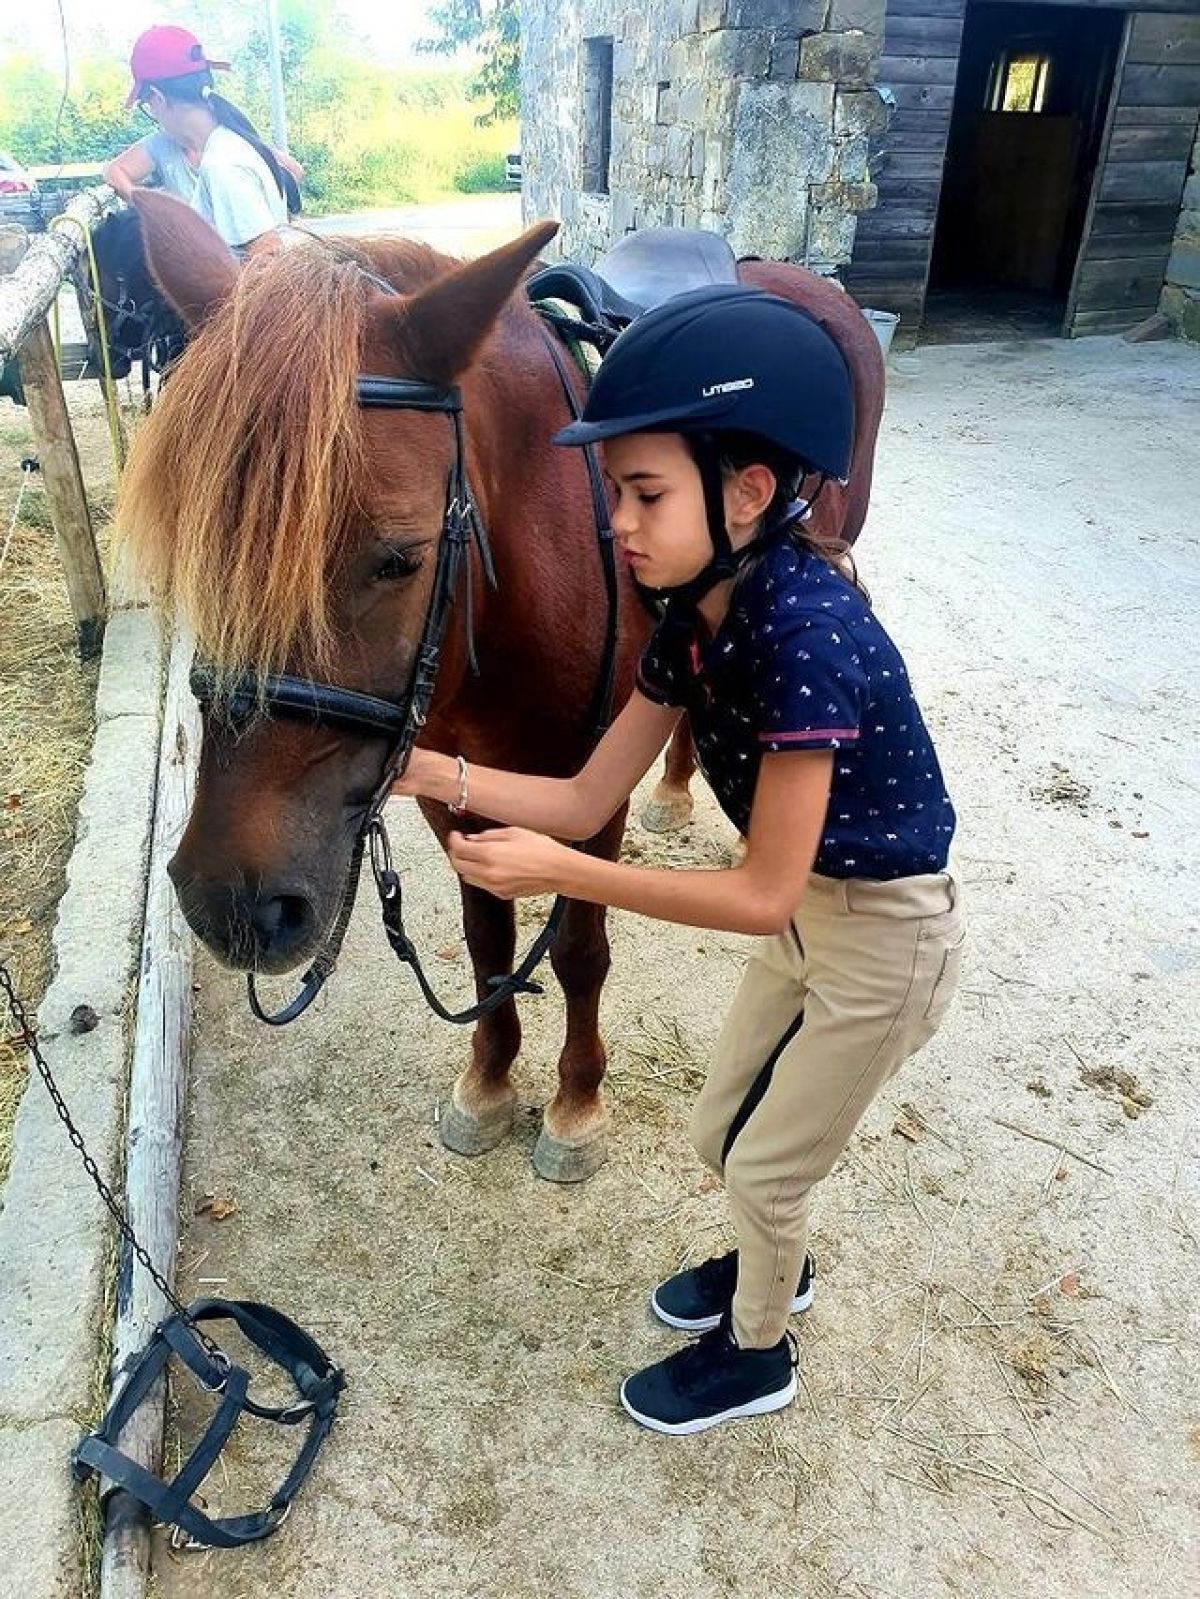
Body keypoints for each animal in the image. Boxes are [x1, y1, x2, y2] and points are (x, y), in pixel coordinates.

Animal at [117, 187, 886, 1182]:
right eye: (198, 549)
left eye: (399, 559)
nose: (232, 902)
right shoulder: (452, 788)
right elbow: (488, 943)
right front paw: (487, 1082)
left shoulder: (589, 797)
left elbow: (581, 953)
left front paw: (575, 1101)